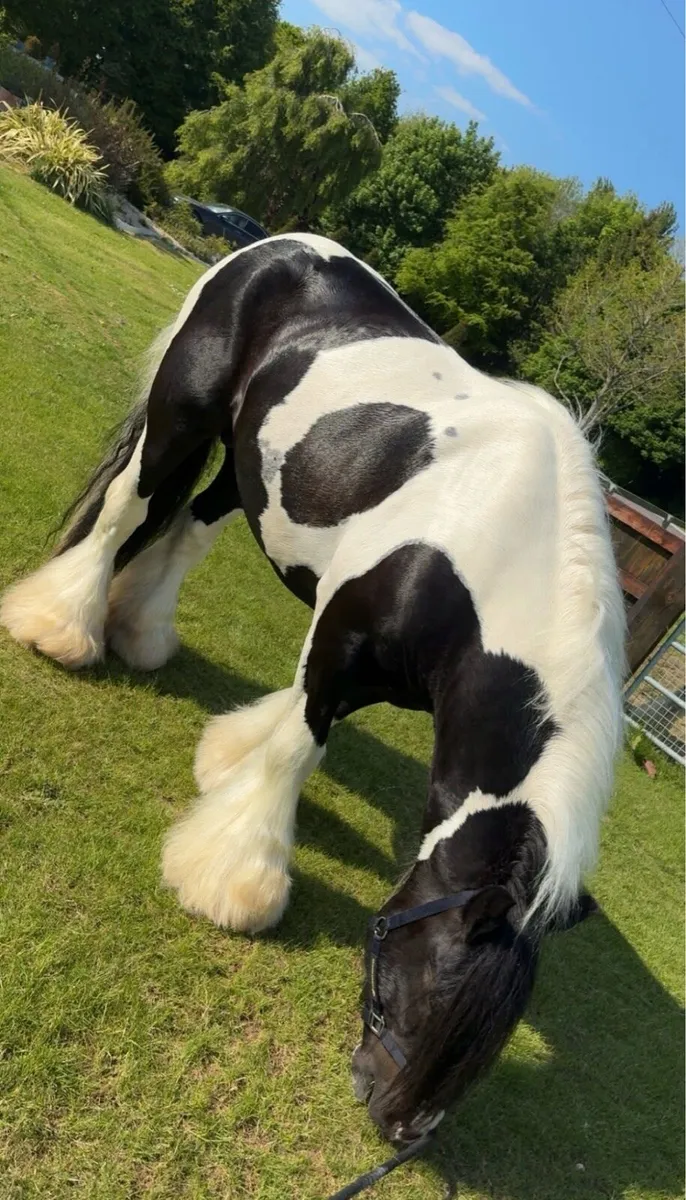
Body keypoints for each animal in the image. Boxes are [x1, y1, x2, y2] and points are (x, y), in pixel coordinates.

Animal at [1, 233, 624, 1144]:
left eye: (498, 1034)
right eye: (434, 989)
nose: (399, 1126)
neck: (495, 545)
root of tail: (274, 247)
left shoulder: (374, 666)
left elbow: (289, 723)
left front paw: (224, 762)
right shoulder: (343, 636)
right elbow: (298, 745)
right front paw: (233, 878)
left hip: (247, 470)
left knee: (188, 529)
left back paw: (138, 633)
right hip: (181, 417)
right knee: (126, 510)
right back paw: (61, 625)